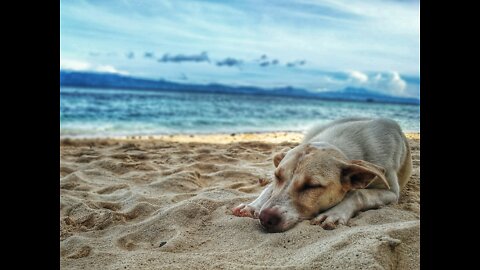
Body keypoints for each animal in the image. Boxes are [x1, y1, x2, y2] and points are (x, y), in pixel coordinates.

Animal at [231, 117, 410, 233]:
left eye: (312, 186)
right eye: (278, 177)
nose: (265, 218)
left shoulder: (391, 192)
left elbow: (359, 193)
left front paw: (334, 213)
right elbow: (269, 190)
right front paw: (253, 205)